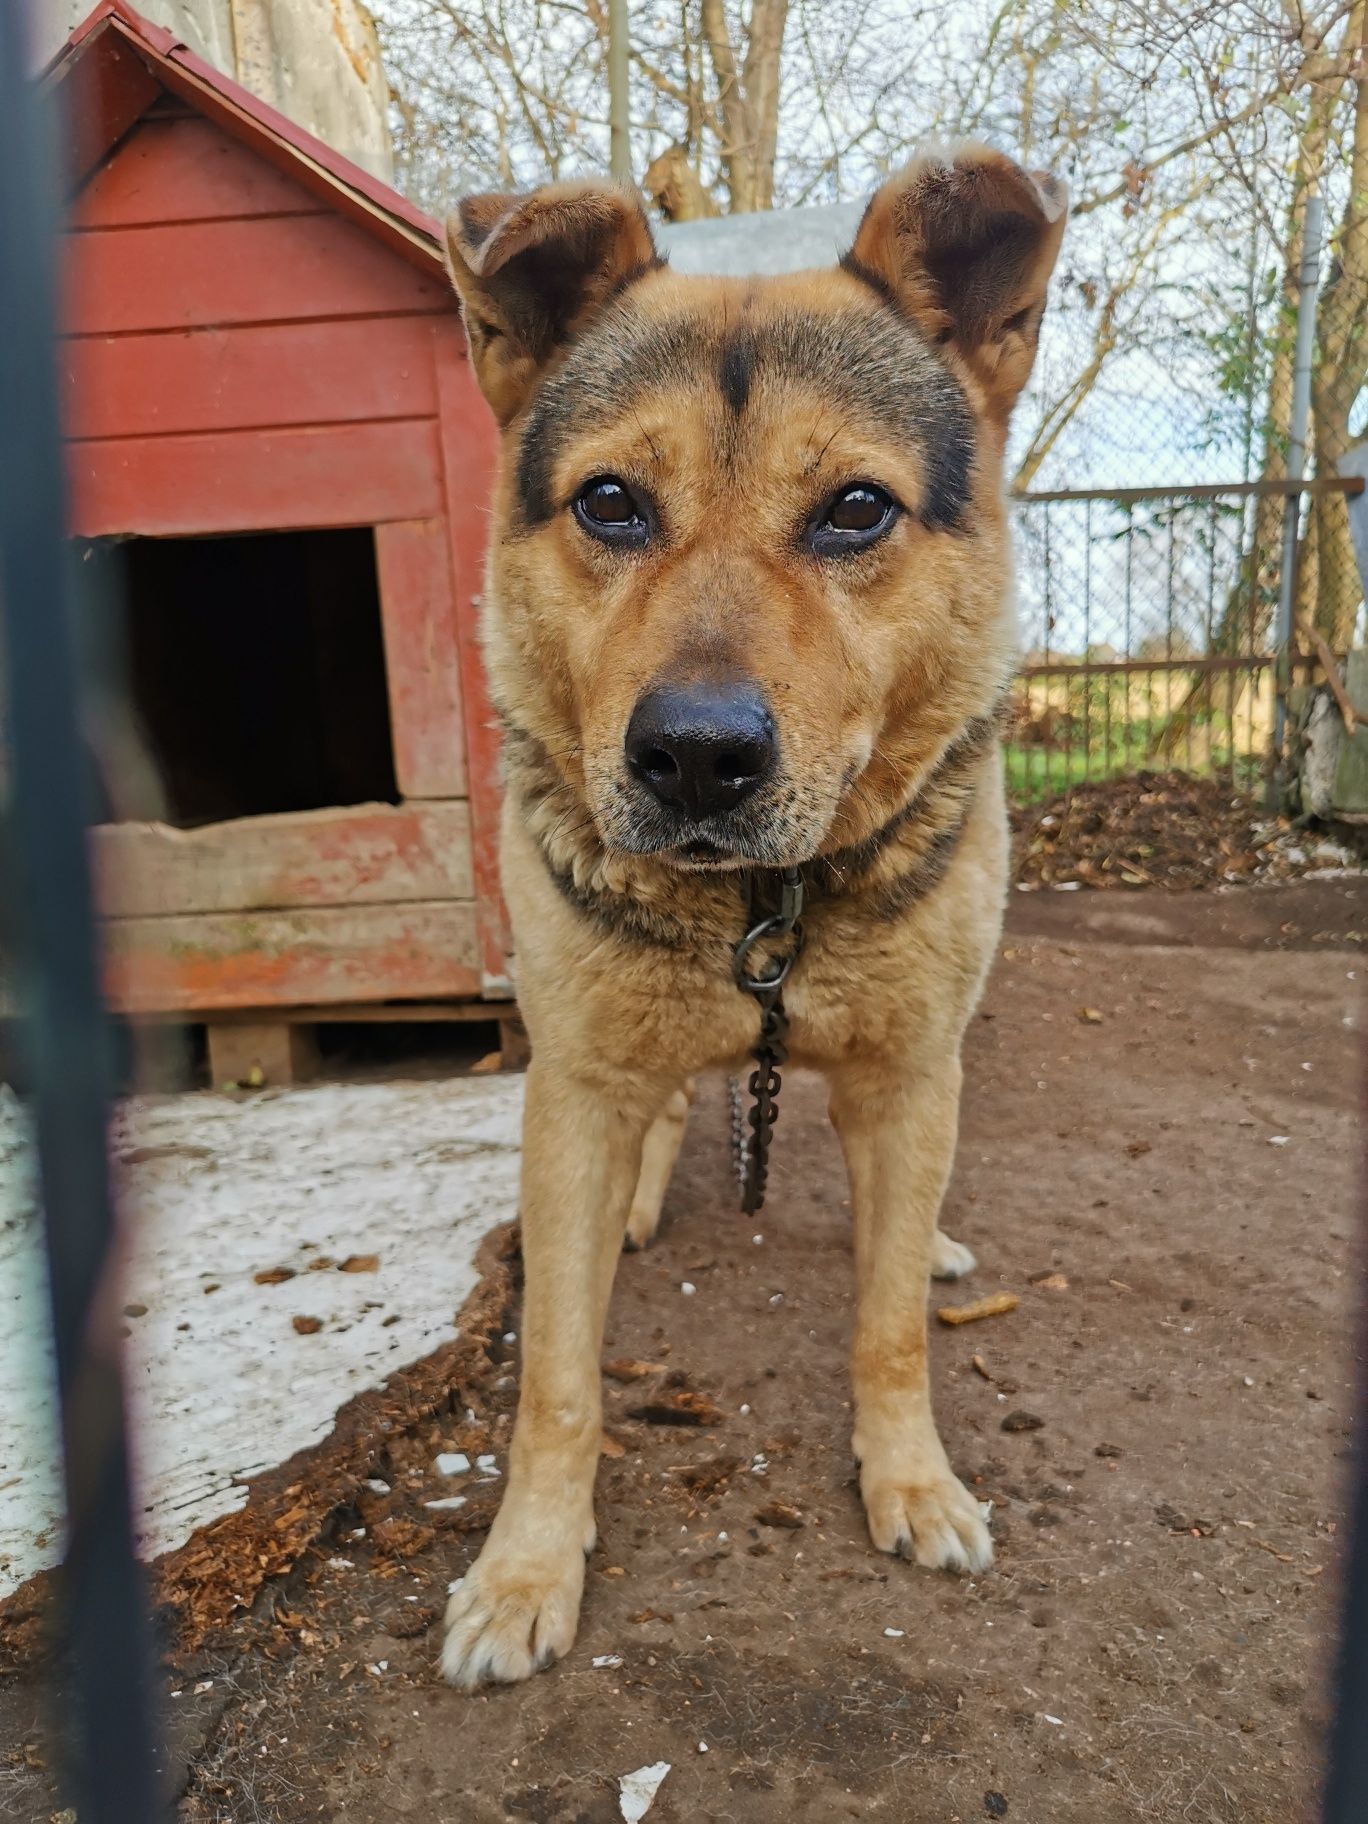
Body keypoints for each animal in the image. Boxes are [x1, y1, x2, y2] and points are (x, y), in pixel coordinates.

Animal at [445, 138, 1065, 1678]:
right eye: (610, 502)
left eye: (856, 509)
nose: (696, 758)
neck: (759, 912)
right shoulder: (578, 1082)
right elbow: (556, 1378)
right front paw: (526, 1566)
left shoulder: (909, 1077)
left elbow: (891, 1325)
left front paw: (911, 1478)